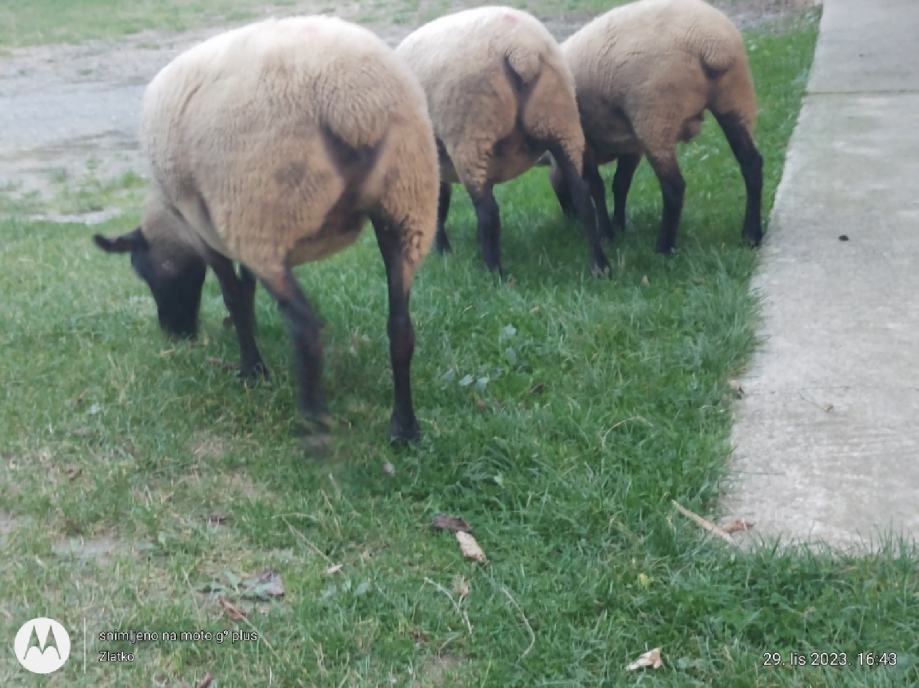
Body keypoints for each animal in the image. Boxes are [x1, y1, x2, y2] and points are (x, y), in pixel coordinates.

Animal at [93, 16, 439, 442]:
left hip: (266, 210)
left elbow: (233, 295)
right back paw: (403, 428)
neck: (171, 218)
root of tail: (354, 105)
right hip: (406, 202)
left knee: (306, 327)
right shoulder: (232, 228)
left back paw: (313, 422)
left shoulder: (208, 227)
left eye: (145, 273)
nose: (176, 333)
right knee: (401, 328)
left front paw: (251, 369)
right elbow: (246, 287)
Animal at [396, 6, 610, 276]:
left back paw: (493, 271)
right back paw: (599, 265)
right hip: (561, 122)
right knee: (582, 193)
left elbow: (440, 202)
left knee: (488, 211)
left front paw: (442, 250)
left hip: (471, 136)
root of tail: (522, 52)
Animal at [551, 0, 763, 254]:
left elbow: (597, 188)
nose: (569, 220)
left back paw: (663, 247)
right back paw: (751, 234)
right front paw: (619, 227)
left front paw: (607, 233)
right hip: (734, 96)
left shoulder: (588, 144)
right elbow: (620, 184)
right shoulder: (631, 145)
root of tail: (710, 43)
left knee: (674, 187)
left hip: (655, 115)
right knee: (751, 163)